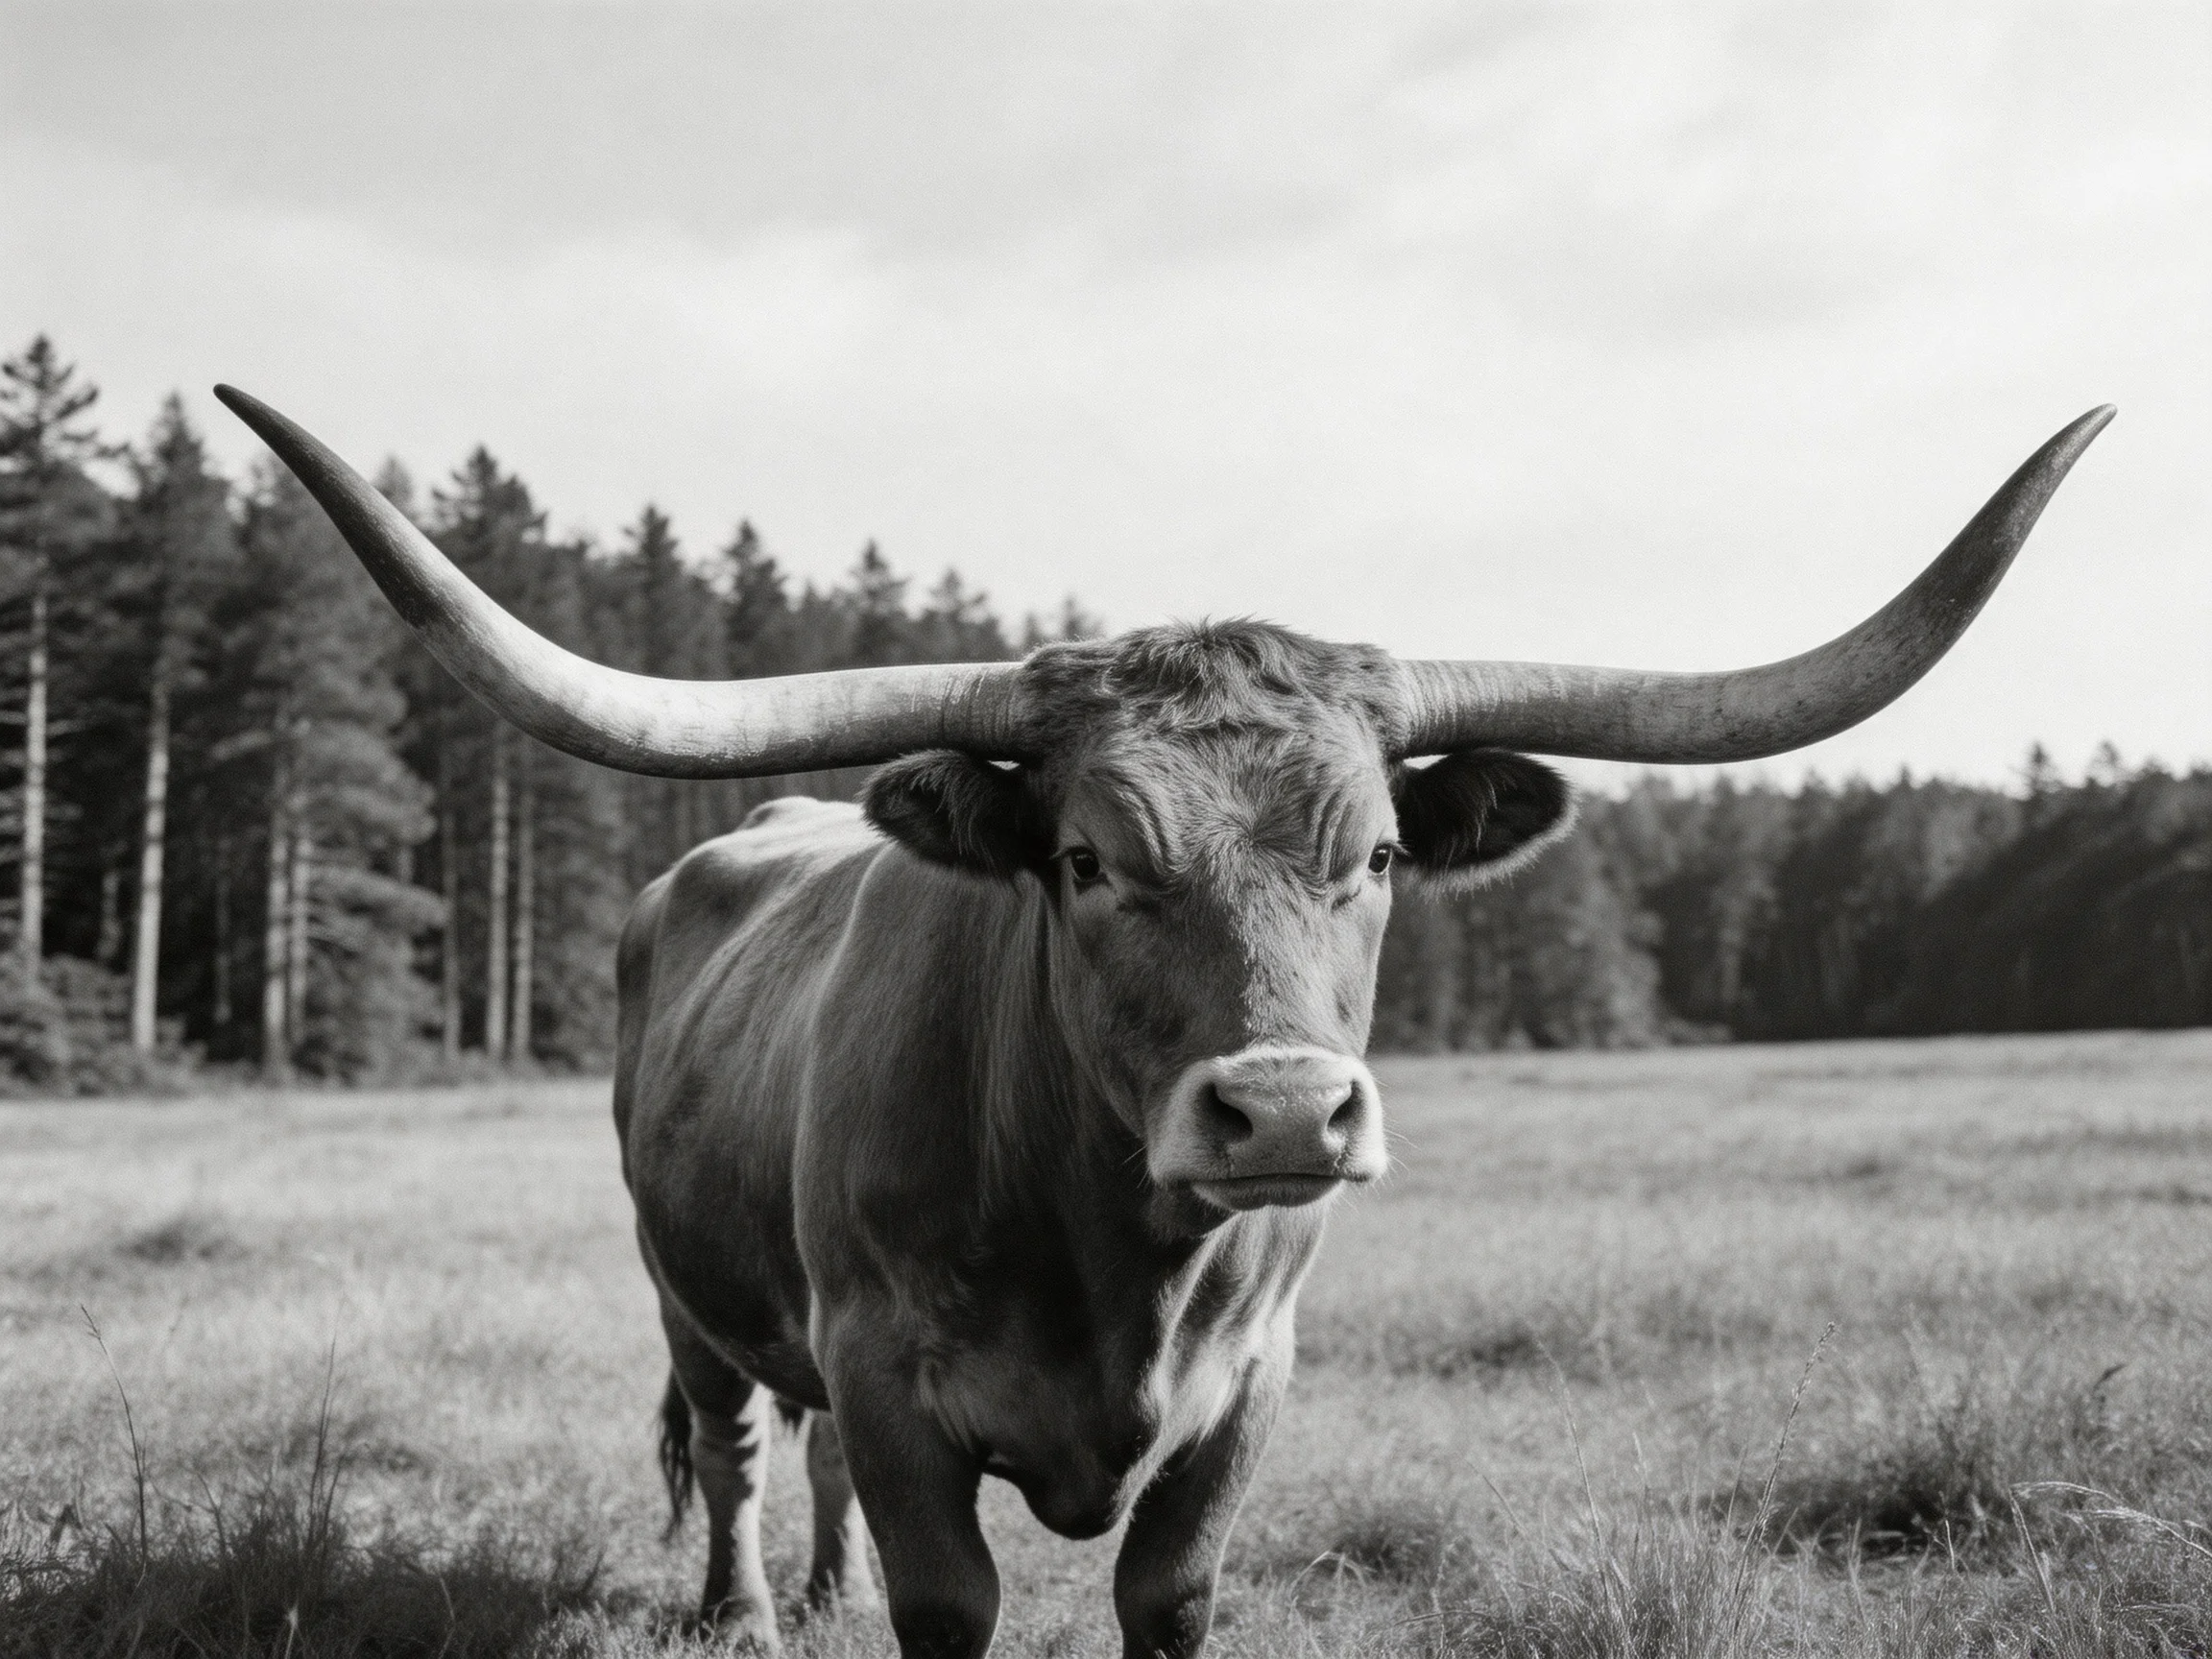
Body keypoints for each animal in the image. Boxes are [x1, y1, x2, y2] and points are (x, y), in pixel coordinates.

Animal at [216, 386, 2109, 1658]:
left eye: (1375, 854)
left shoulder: (1246, 1388)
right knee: (741, 1443)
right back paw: (747, 1611)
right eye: (1082, 858)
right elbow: (944, 1594)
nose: (1278, 1113)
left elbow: (1166, 1590)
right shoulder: (895, 1377)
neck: (1107, 1256)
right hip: (688, 1287)